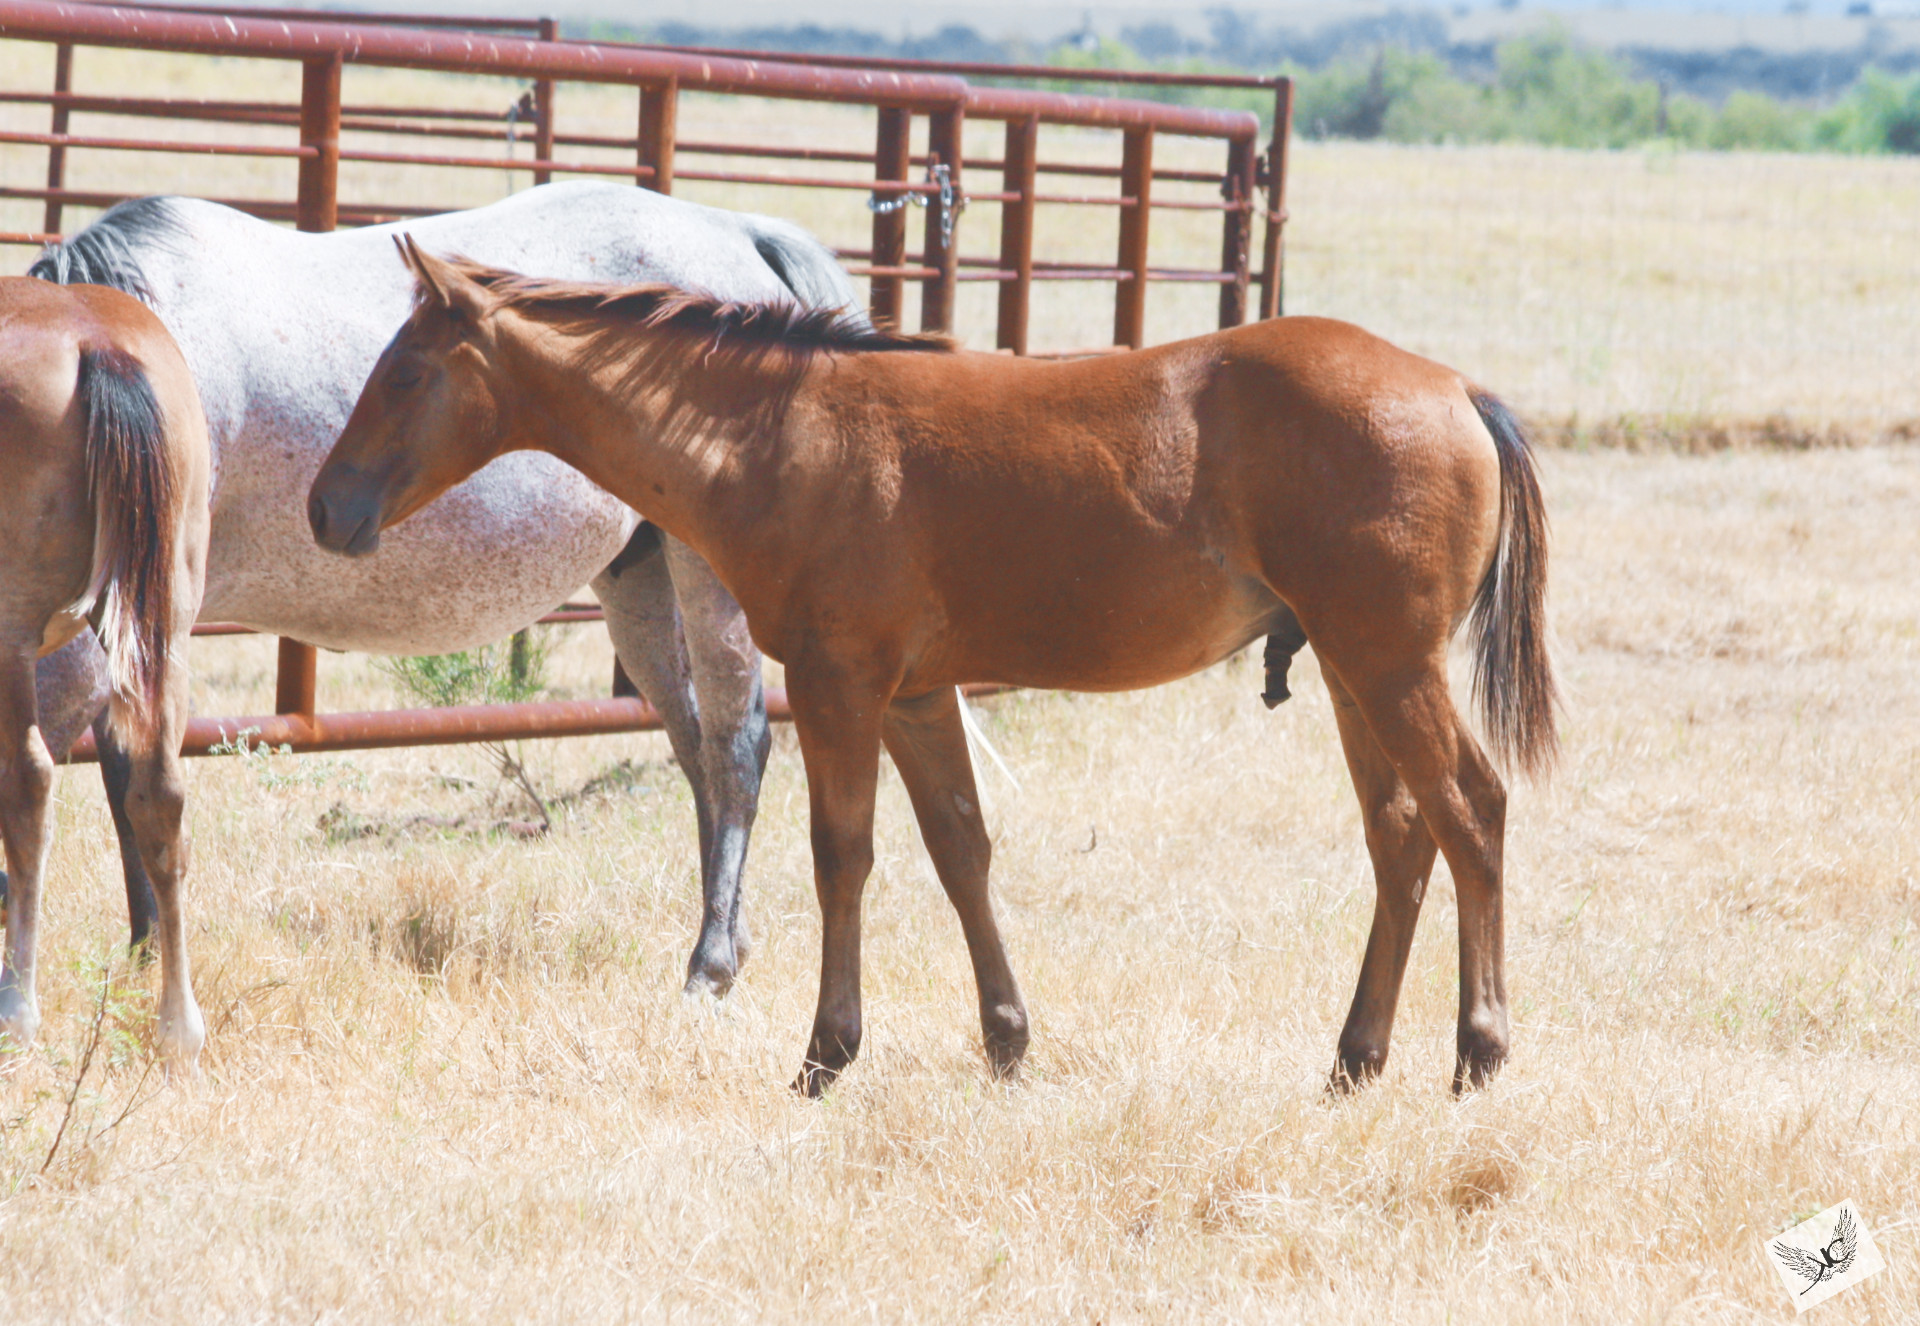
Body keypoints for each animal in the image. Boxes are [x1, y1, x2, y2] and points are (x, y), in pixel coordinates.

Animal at [0, 276, 209, 1062]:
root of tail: (98, 343)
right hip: (164, 629)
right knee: (161, 795)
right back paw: (179, 1028)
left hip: (12, 631)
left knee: (29, 783)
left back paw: (20, 1009)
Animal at [23, 182, 868, 997]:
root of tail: (740, 234)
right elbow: (126, 775)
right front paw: (143, 954)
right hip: (641, 579)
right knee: (696, 748)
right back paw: (730, 937)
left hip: (707, 574)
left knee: (736, 744)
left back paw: (711, 963)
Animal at [309, 242, 1558, 1096]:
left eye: (407, 373)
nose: (327, 509)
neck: (782, 437)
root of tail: (1457, 391)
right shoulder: (916, 692)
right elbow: (963, 849)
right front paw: (1007, 1042)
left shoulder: (838, 683)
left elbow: (843, 858)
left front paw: (826, 1054)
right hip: (1351, 669)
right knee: (1402, 836)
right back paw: (1355, 1058)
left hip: (1388, 663)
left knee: (1472, 812)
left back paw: (1479, 1051)